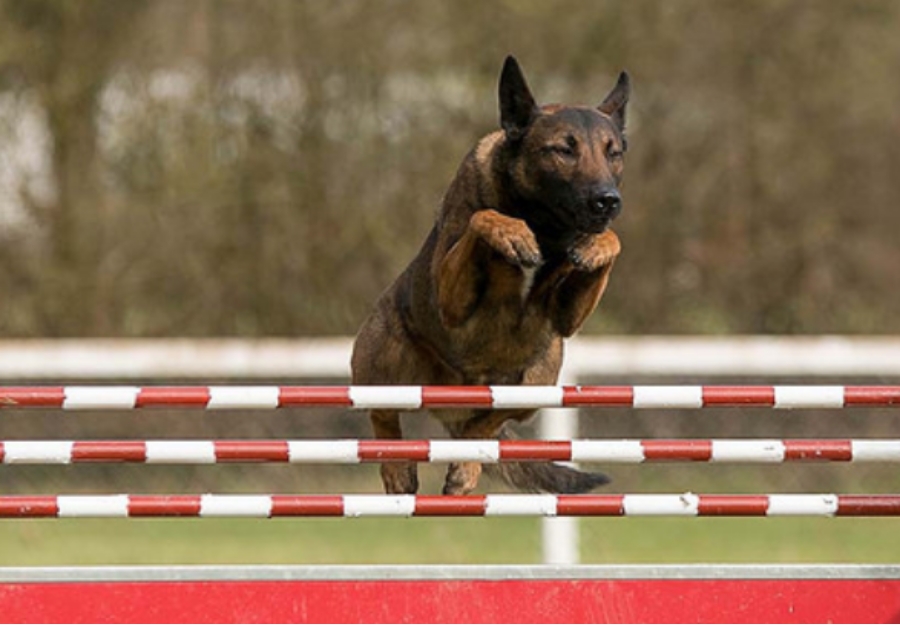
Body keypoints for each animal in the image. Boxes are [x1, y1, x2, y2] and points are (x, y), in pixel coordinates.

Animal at [348, 56, 628, 494]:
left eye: (612, 153)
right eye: (563, 150)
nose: (607, 201)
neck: (542, 221)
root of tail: (456, 397)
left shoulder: (566, 317)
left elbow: (608, 244)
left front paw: (597, 245)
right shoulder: (451, 300)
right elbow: (484, 217)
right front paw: (513, 234)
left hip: (541, 376)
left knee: (486, 424)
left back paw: (467, 461)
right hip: (382, 358)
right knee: (384, 413)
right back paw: (397, 466)